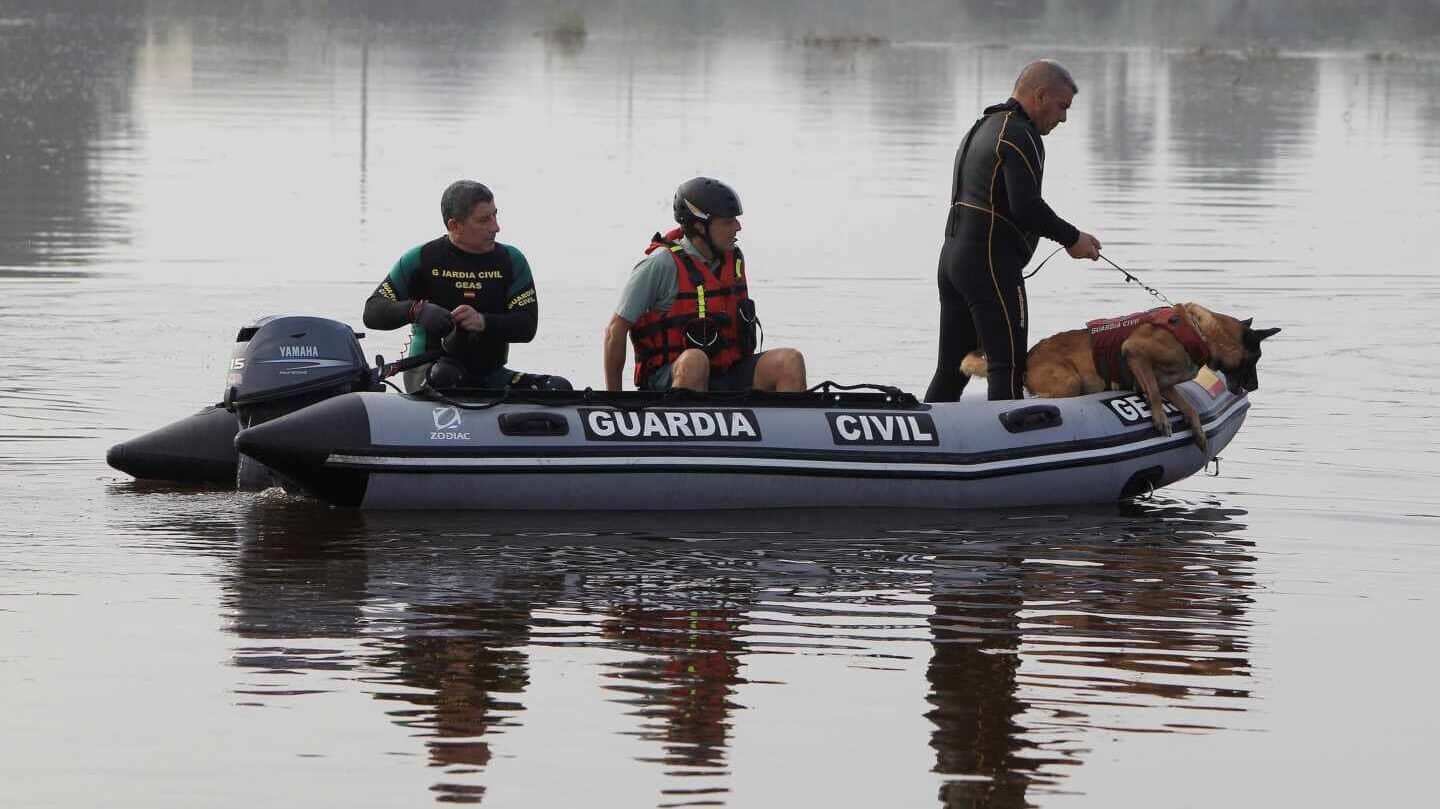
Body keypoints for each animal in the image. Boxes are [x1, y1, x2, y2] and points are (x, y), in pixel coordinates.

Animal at [961, 303, 1278, 454]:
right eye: (1256, 359)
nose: (1255, 387)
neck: (1201, 334)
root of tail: (1029, 356)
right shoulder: (1135, 353)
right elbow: (1152, 393)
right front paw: (1161, 419)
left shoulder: (1168, 383)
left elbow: (1187, 406)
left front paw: (1197, 431)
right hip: (1070, 382)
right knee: (1038, 397)